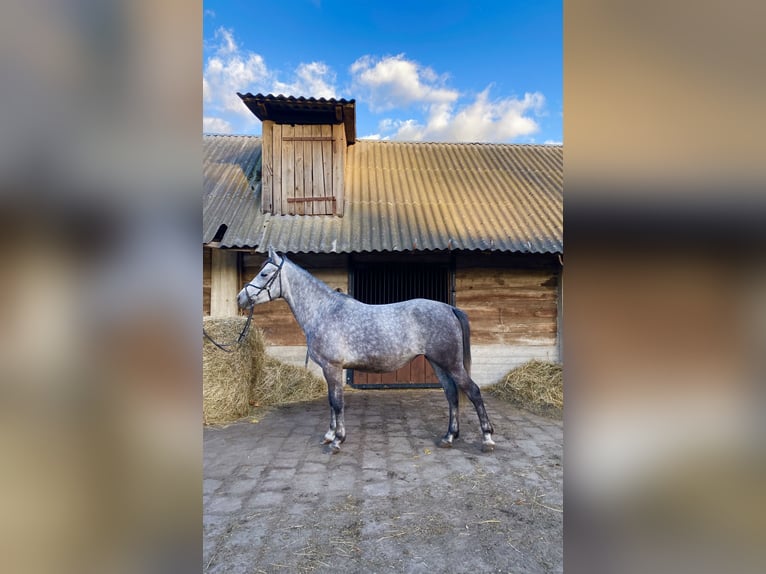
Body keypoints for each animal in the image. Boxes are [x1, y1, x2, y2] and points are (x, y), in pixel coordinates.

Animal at [236, 248, 498, 454]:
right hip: (437, 363)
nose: (241, 298)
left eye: (265, 274)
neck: (324, 311)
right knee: (452, 394)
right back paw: (448, 437)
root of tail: (449, 308)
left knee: (473, 392)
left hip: (451, 363)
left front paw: (337, 441)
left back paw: (487, 439)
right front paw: (329, 436)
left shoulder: (333, 367)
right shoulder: (329, 370)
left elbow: (337, 403)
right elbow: (331, 401)